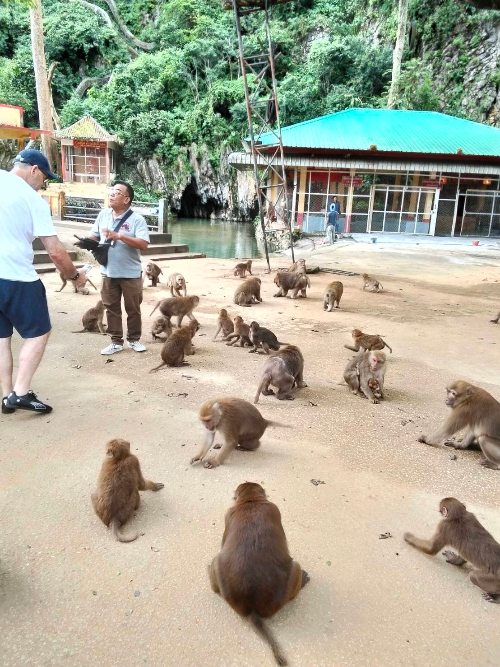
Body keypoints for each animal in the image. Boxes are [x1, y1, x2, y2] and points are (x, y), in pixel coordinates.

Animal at [209, 482, 309, 665]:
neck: (251, 501)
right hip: (292, 577)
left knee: (216, 561)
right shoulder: (274, 508)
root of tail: (251, 607)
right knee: (296, 567)